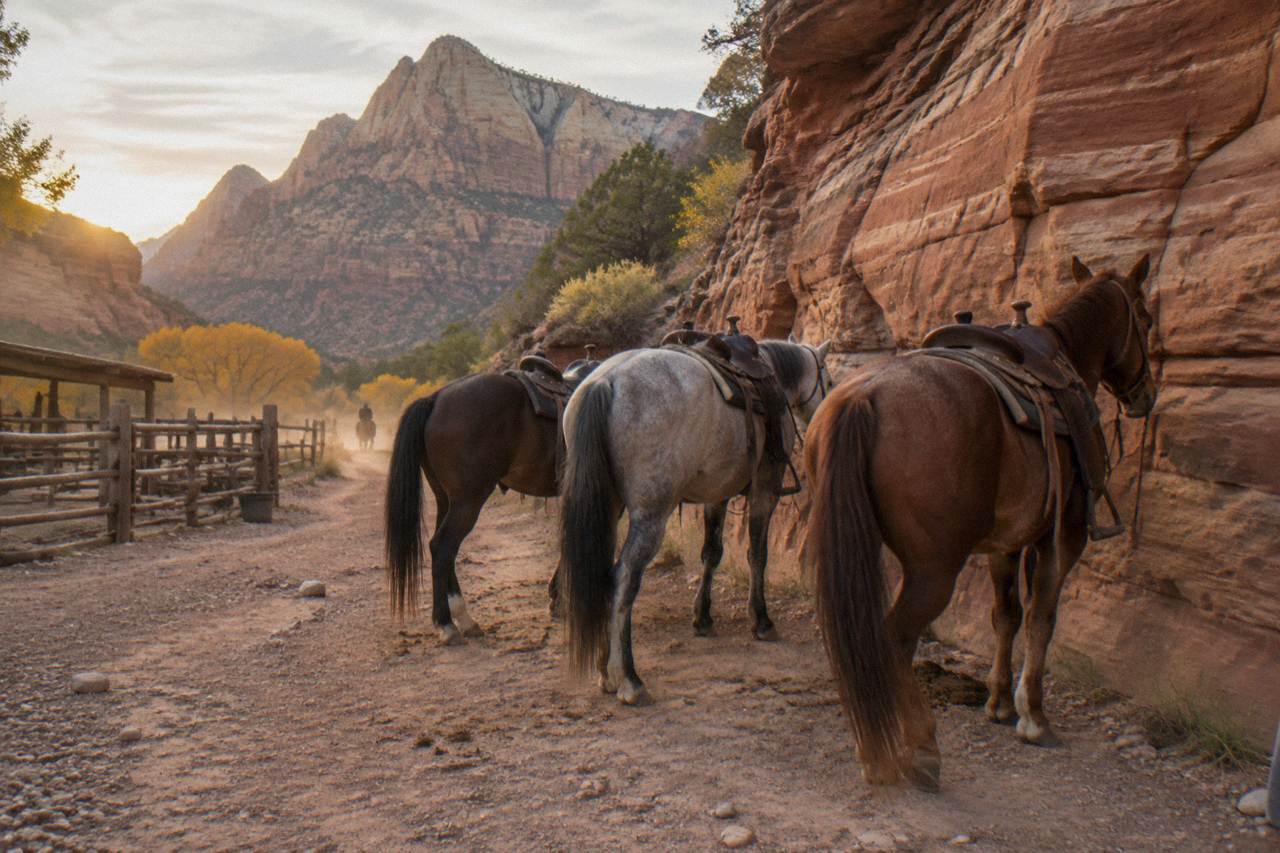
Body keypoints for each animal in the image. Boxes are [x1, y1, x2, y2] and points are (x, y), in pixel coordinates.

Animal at [560, 337, 832, 706]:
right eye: (828, 379)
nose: (823, 415)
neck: (771, 372)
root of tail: (604, 382)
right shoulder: (766, 489)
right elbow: (757, 556)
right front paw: (761, 620)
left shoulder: (717, 494)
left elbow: (711, 554)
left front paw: (702, 618)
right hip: (650, 516)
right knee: (623, 579)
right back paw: (629, 678)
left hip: (609, 507)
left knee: (603, 576)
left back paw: (605, 669)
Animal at [803, 255, 1156, 791]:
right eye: (1147, 319)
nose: (1146, 395)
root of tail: (861, 398)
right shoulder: (1062, 539)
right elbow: (1042, 617)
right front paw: (1034, 716)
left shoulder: (1003, 546)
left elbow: (1004, 615)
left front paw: (999, 703)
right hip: (933, 570)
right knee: (893, 638)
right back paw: (919, 748)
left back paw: (873, 746)